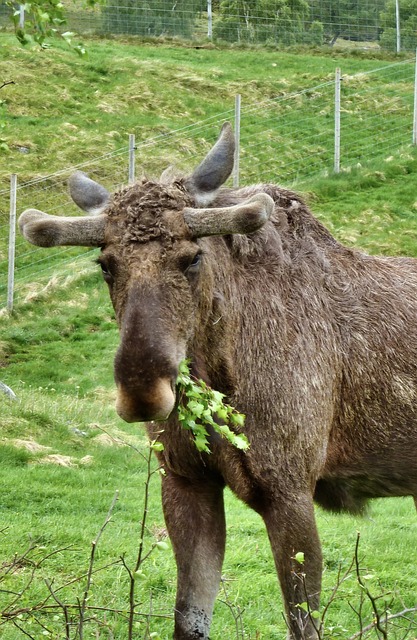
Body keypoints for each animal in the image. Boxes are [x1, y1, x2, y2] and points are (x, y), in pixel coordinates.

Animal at [20, 125, 417, 640]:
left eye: (192, 258)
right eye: (105, 264)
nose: (143, 391)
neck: (224, 377)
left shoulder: (290, 486)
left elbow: (303, 621)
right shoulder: (186, 479)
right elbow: (189, 617)